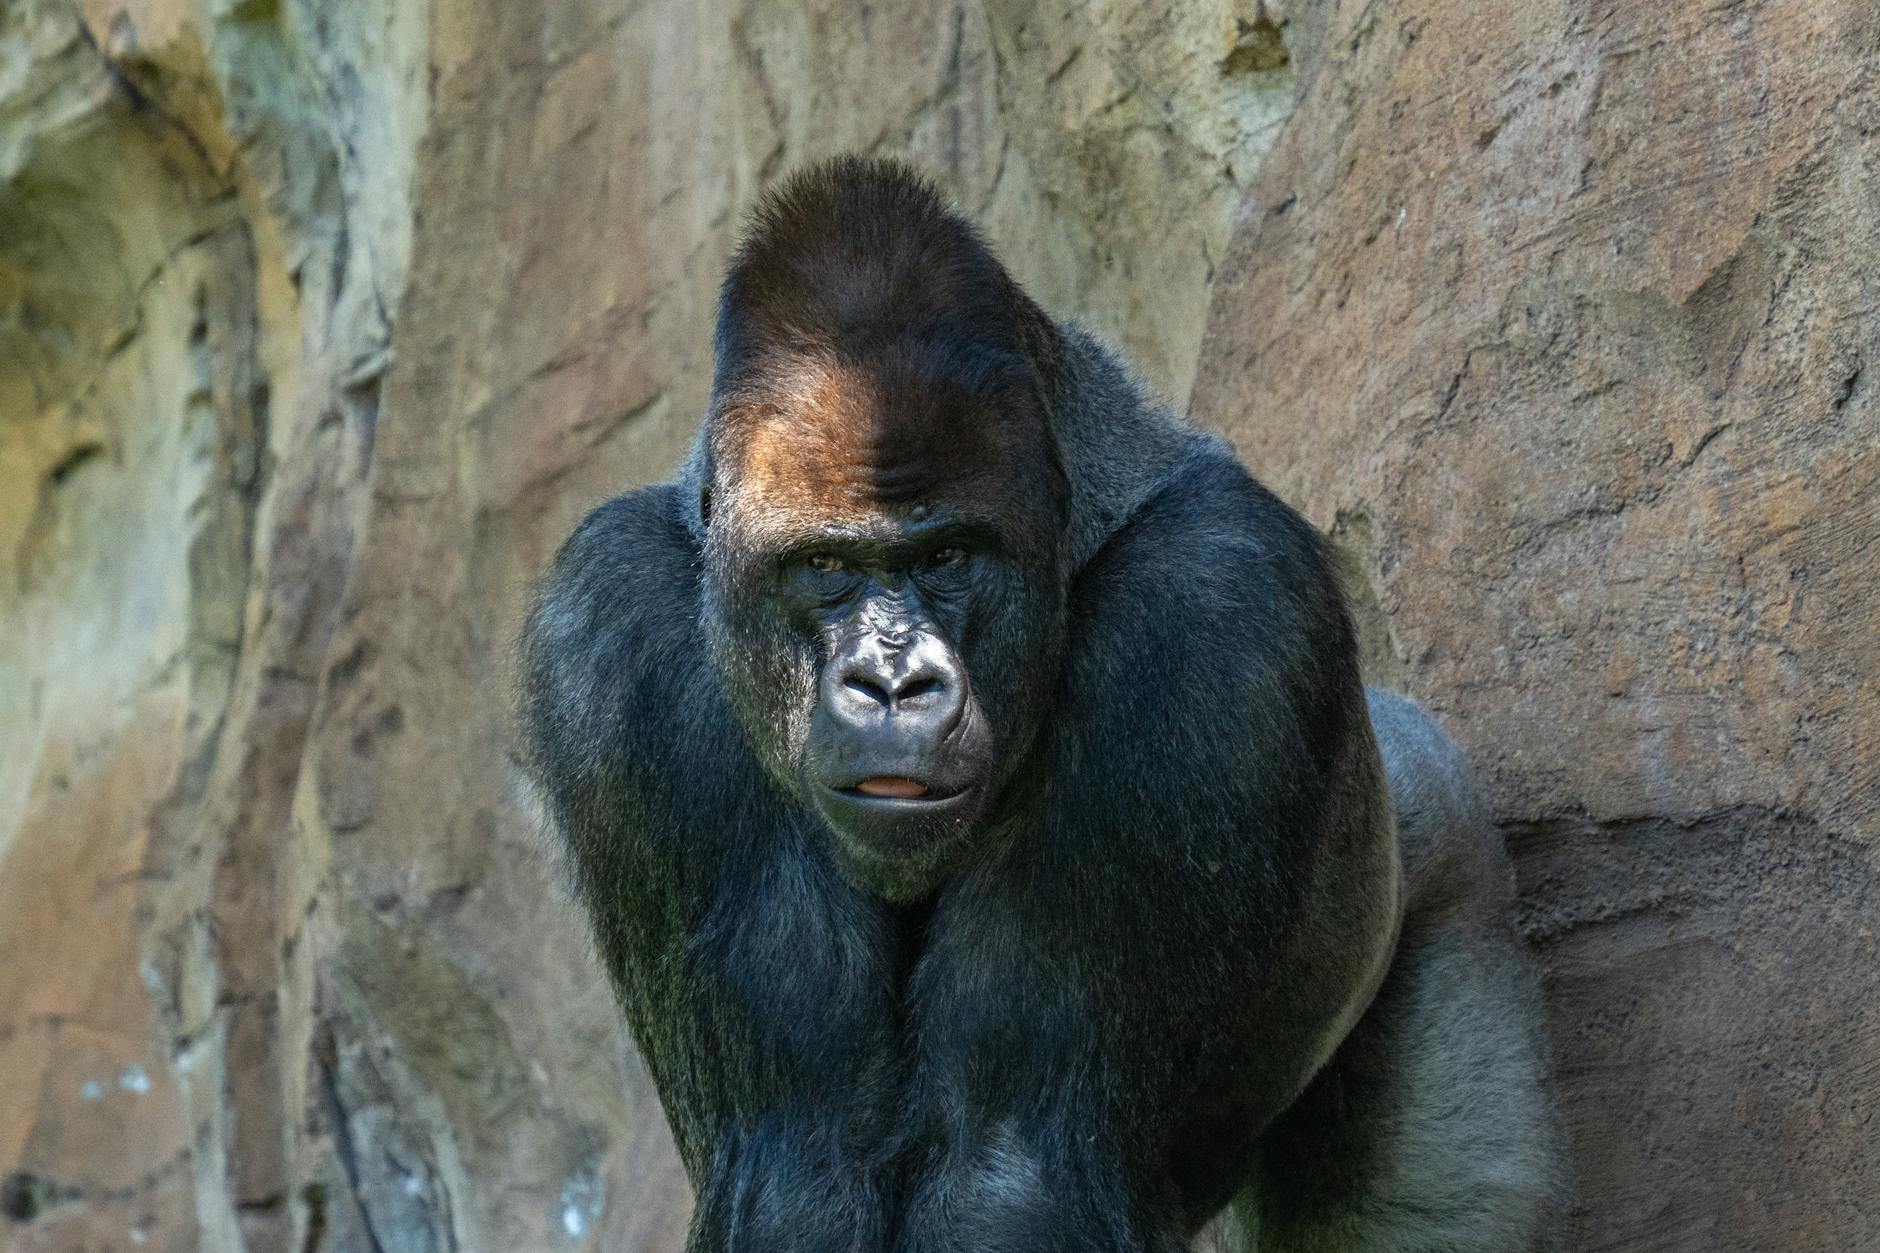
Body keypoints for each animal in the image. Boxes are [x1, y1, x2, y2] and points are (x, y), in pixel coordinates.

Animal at [517, 156, 1564, 1251]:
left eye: (947, 556)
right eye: (825, 568)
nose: (893, 683)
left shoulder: (1216, 608)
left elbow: (1012, 1165)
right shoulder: (616, 629)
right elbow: (802, 1159)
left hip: (1441, 837)